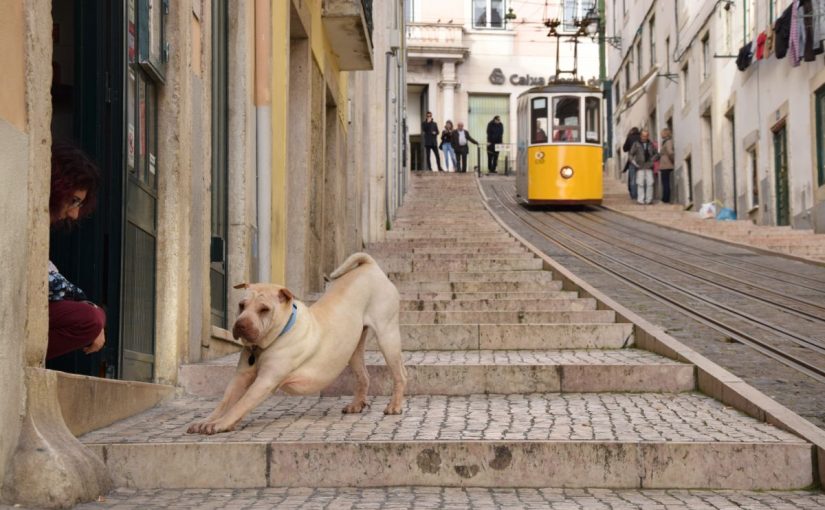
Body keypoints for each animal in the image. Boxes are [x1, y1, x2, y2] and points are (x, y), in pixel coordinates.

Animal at [187, 251, 406, 434]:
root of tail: (370, 266)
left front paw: (221, 424)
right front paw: (208, 421)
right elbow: (225, 401)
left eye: (264, 309)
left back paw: (394, 406)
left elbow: (241, 404)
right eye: (242, 305)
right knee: (364, 376)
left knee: (400, 374)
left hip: (387, 336)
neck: (278, 334)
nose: (240, 325)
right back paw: (356, 405)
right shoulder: (240, 377)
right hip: (352, 348)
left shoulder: (266, 381)